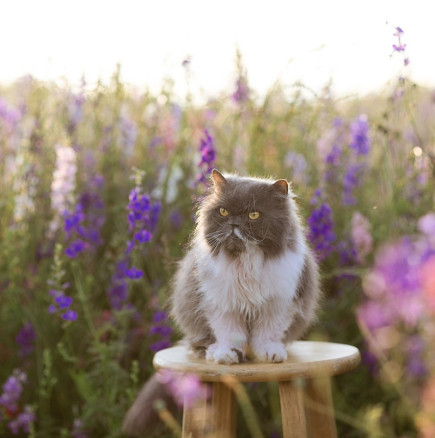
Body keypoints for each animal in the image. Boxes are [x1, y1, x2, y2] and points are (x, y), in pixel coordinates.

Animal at [122, 169, 320, 436]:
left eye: (253, 214)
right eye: (224, 212)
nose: (234, 223)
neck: (244, 262)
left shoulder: (278, 305)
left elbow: (267, 334)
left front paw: (269, 353)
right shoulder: (220, 305)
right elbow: (229, 334)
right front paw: (229, 356)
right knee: (201, 344)